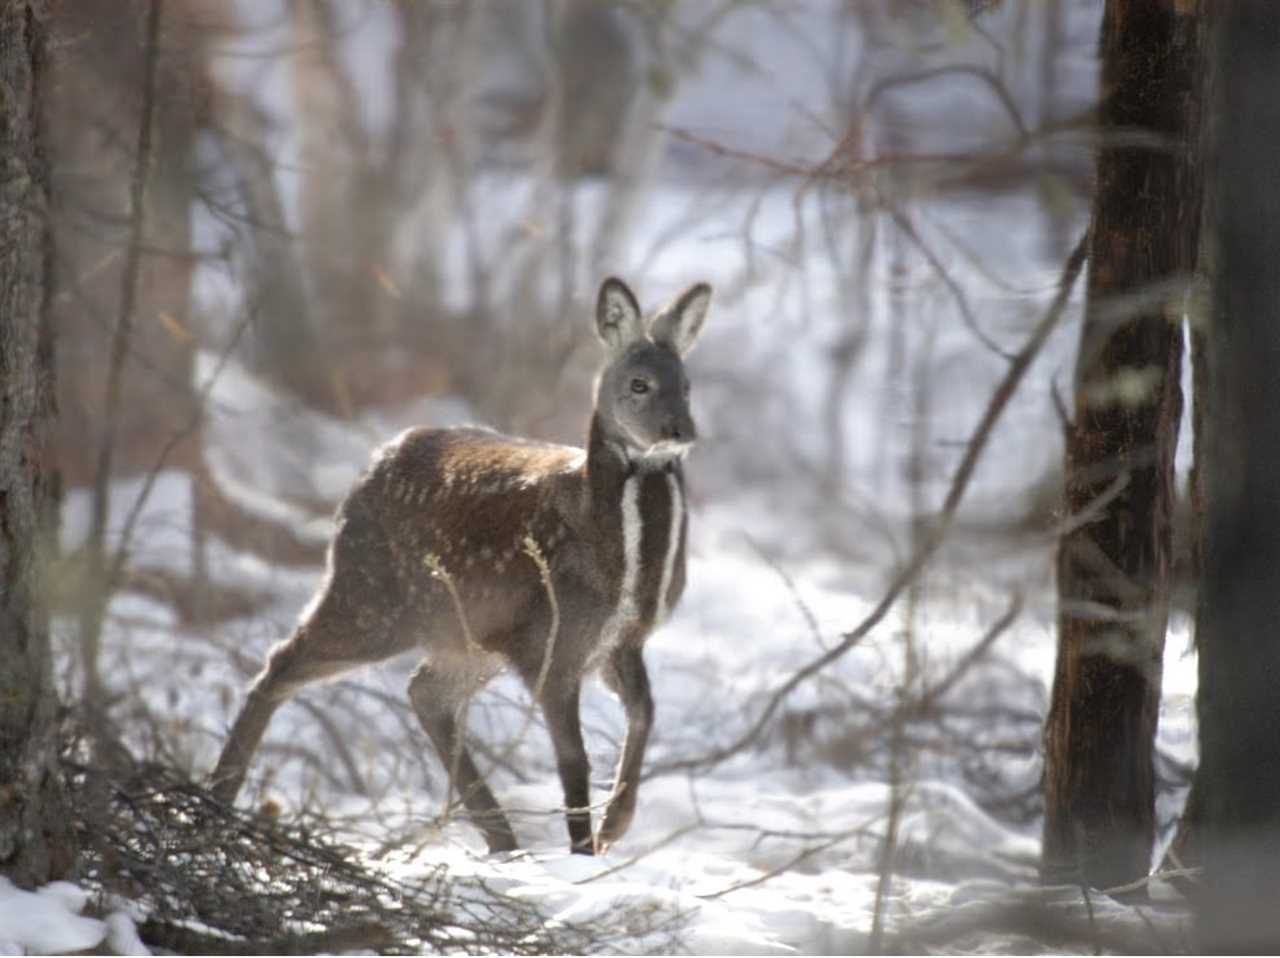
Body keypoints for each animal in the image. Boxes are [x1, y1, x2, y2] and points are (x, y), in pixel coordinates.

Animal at [209, 275, 711, 855]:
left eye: (687, 385)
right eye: (639, 384)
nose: (680, 432)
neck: (621, 568)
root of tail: (367, 471)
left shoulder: (620, 640)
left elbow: (646, 713)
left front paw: (615, 825)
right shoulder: (553, 638)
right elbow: (574, 761)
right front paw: (585, 852)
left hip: (467, 634)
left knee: (423, 692)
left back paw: (503, 840)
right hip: (371, 595)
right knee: (283, 660)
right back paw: (220, 793)